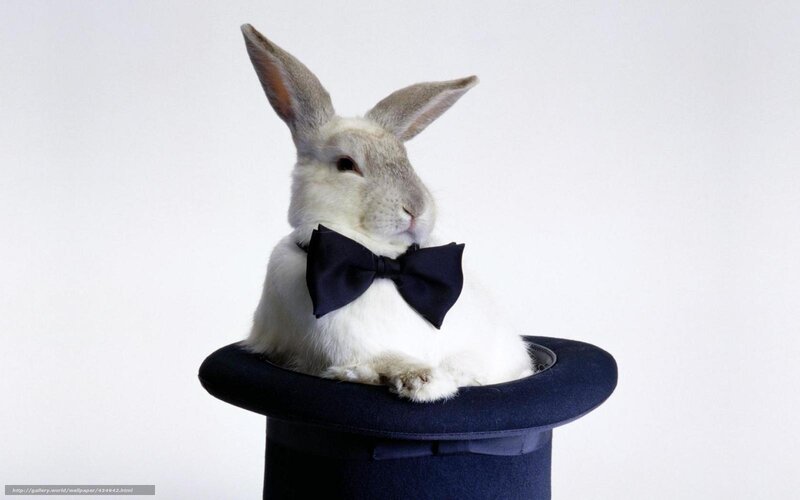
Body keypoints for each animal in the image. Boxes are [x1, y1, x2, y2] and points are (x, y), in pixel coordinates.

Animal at [240, 24, 533, 402]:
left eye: (406, 159)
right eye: (346, 164)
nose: (416, 208)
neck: (385, 265)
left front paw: (459, 377)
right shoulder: (344, 349)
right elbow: (380, 362)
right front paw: (428, 382)